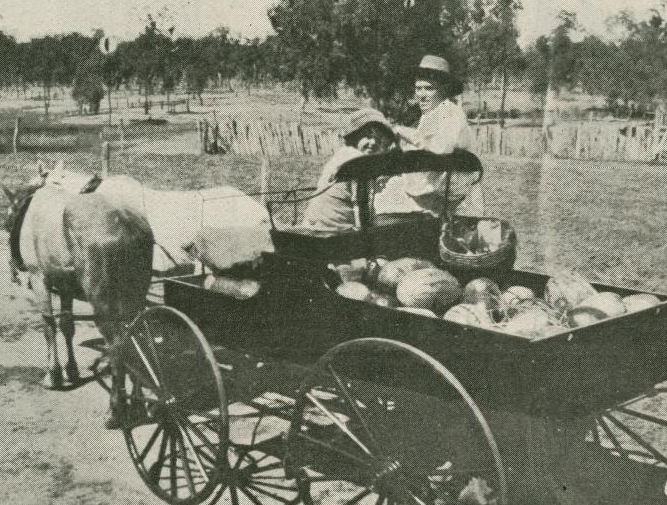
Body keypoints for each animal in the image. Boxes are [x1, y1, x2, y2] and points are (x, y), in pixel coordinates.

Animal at [2, 179, 151, 420]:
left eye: (10, 215)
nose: (14, 267)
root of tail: (129, 226)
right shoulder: (66, 288)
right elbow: (66, 325)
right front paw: (71, 370)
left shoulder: (38, 277)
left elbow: (49, 325)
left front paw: (53, 374)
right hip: (135, 298)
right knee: (137, 337)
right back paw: (137, 402)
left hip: (104, 305)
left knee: (117, 344)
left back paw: (116, 408)